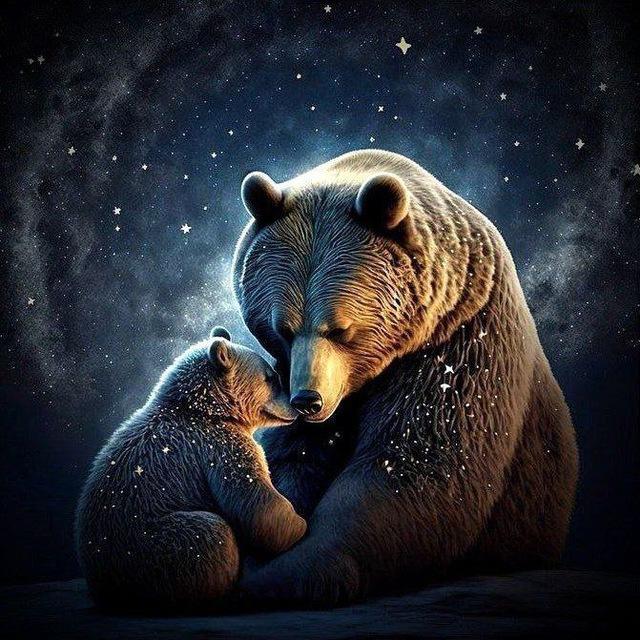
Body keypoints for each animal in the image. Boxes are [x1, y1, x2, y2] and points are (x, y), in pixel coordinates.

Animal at [75, 327, 305, 610]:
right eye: (270, 377)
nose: (295, 407)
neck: (204, 408)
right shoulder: (218, 446)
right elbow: (255, 499)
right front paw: (298, 524)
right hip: (158, 546)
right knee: (212, 532)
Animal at [231, 149, 579, 606]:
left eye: (340, 329)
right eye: (282, 328)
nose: (309, 400)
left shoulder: (457, 346)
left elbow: (414, 467)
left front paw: (285, 574)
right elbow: (293, 460)